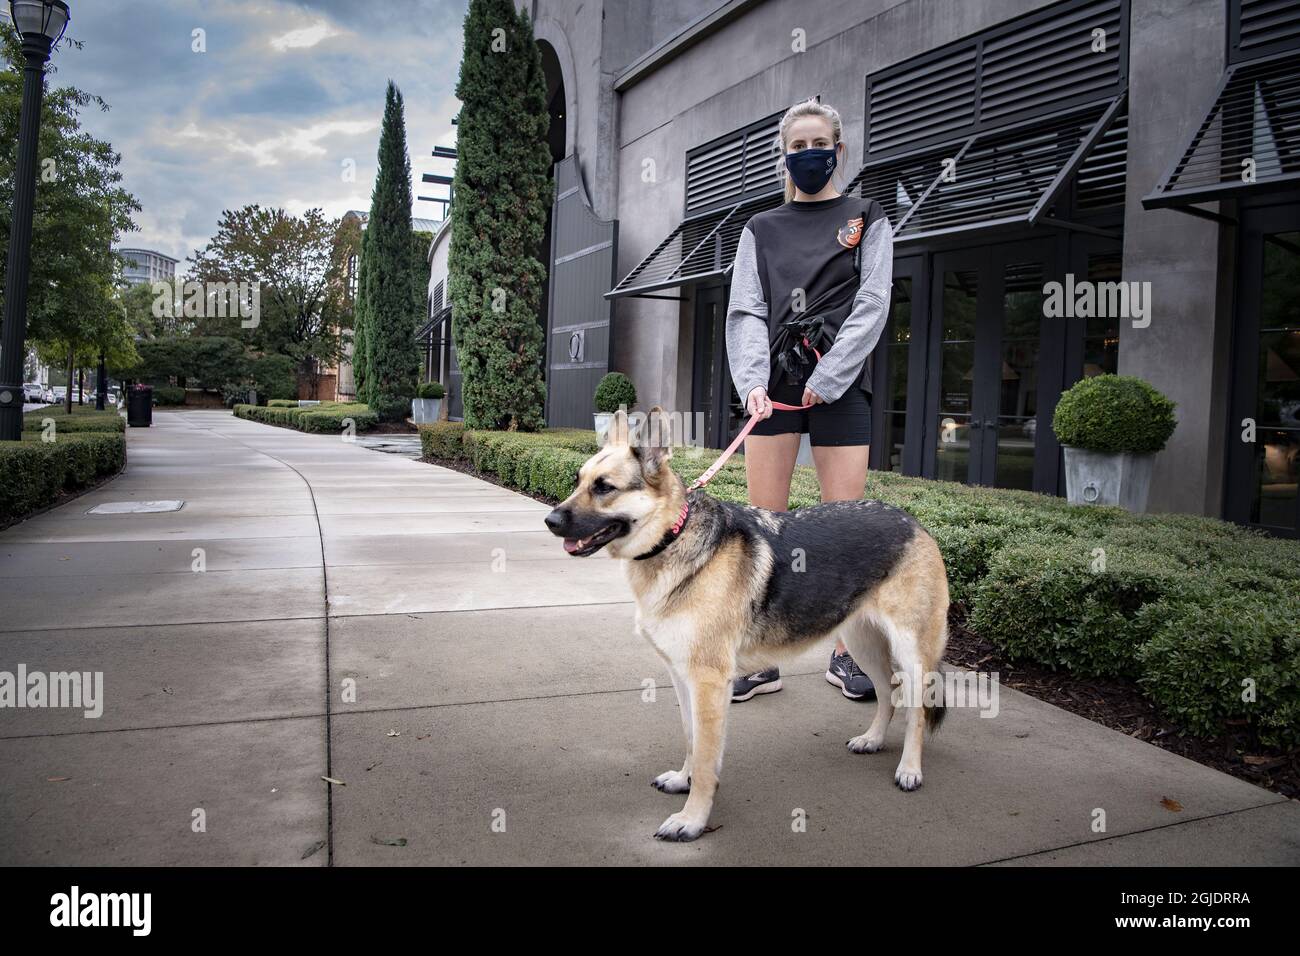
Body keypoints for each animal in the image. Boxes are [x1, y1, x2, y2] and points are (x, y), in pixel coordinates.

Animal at [543, 408, 951, 842]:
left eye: (604, 487)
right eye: (578, 481)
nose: (550, 520)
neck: (673, 537)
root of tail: (913, 521)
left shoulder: (707, 683)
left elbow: (707, 759)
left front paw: (692, 819)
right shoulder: (682, 678)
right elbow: (691, 740)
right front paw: (683, 781)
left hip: (910, 651)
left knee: (917, 709)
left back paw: (910, 768)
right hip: (862, 643)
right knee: (888, 693)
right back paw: (872, 739)